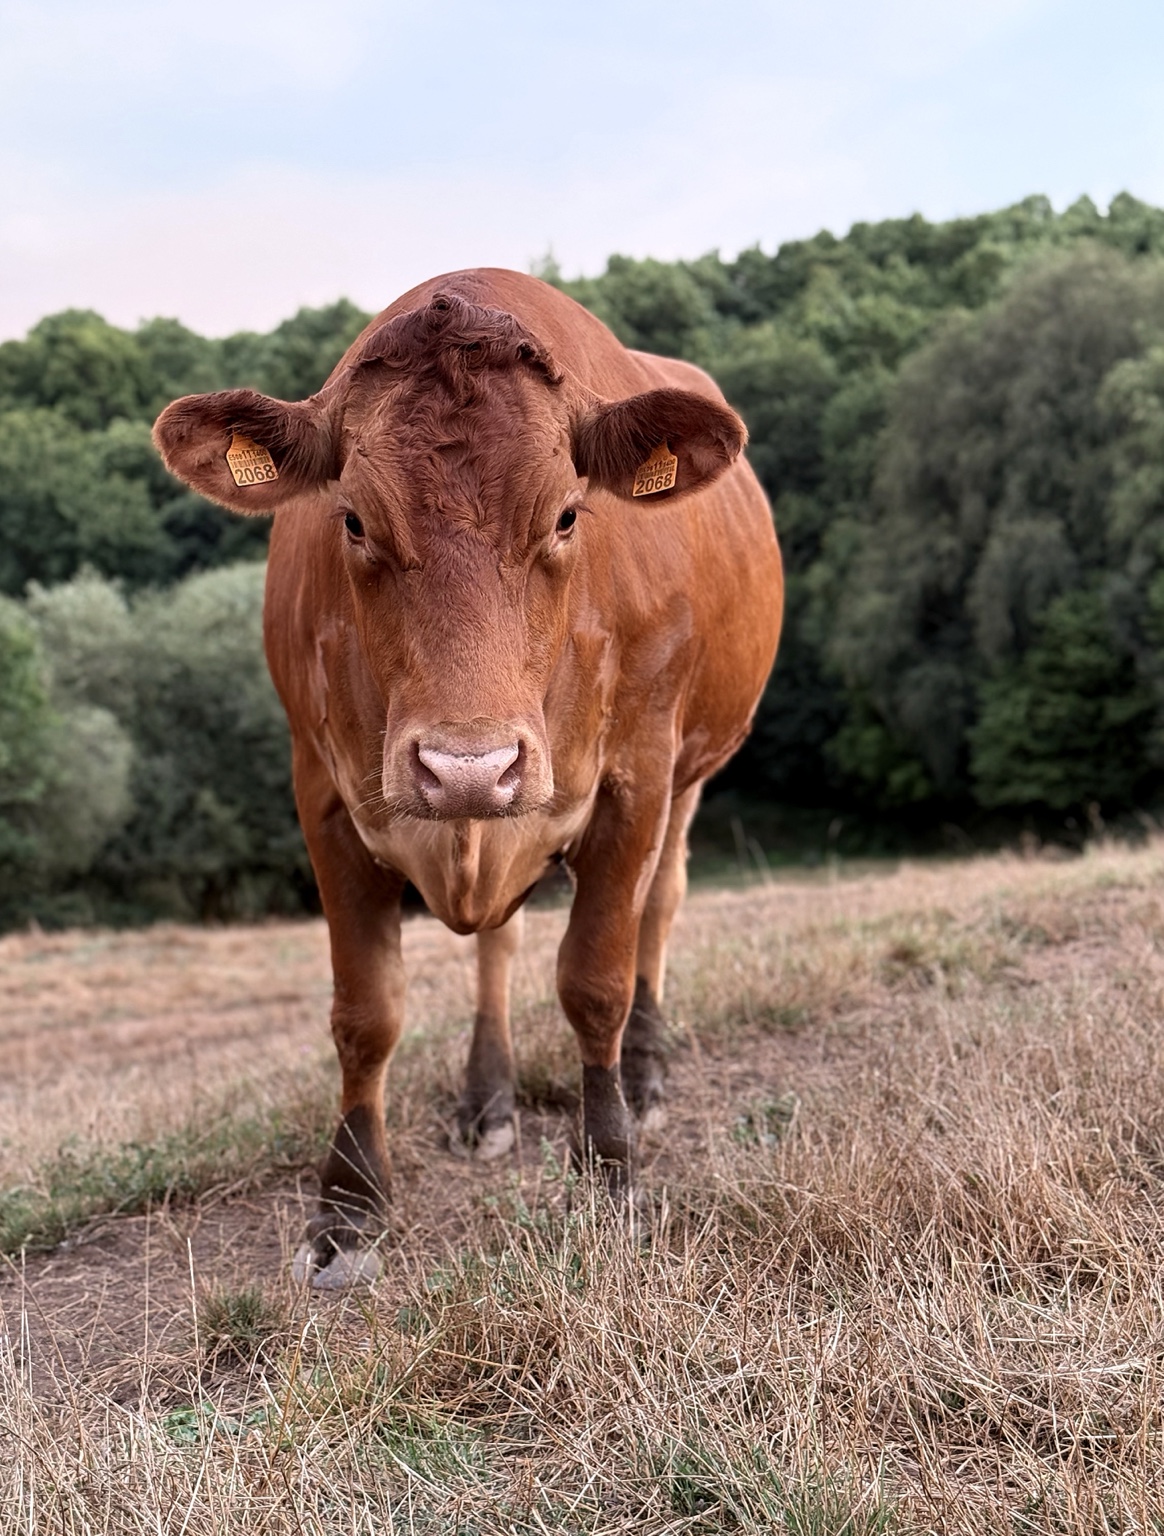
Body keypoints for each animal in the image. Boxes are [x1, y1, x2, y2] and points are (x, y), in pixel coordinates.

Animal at [154, 269, 783, 1288]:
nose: (467, 766)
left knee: (659, 905)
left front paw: (611, 1170)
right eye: (353, 519)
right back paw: (487, 1099)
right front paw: (348, 1207)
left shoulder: (637, 778)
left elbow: (595, 981)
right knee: (500, 941)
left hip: (688, 774)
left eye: (566, 515)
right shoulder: (322, 792)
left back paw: (646, 1072)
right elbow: (366, 1011)